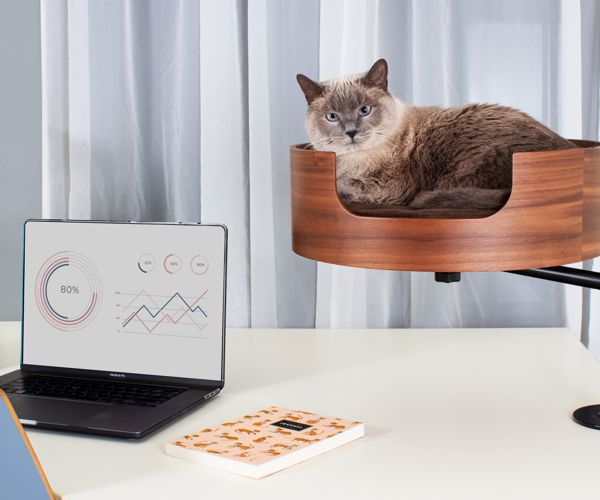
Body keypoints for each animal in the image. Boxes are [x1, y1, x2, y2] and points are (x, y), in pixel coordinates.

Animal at [296, 59, 576, 210]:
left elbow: (341, 184)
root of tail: (568, 147)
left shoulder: (387, 187)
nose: (351, 132)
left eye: (364, 110)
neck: (351, 160)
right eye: (332, 117)